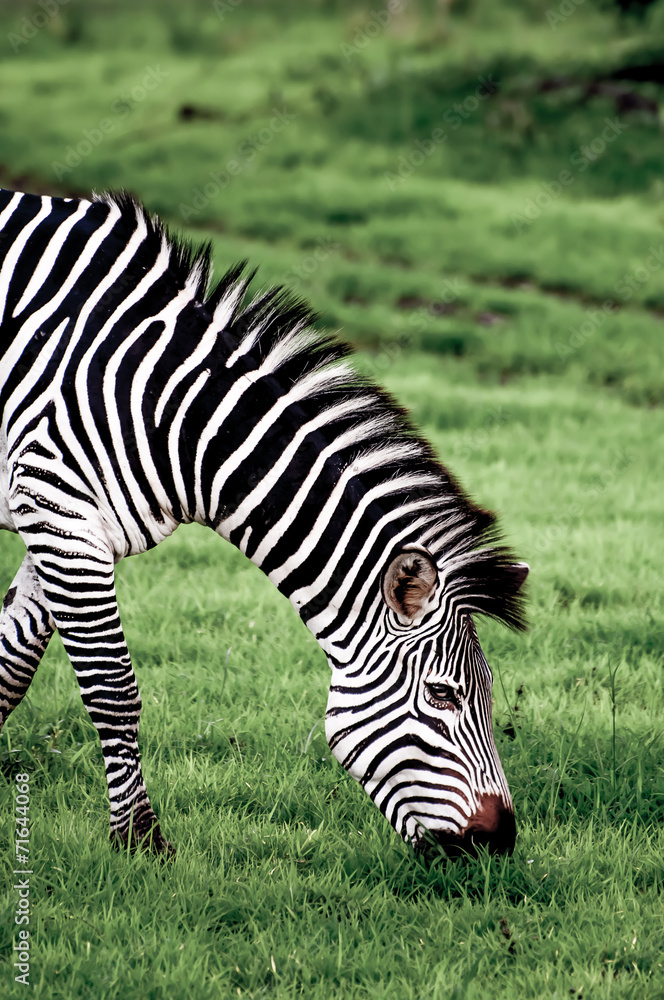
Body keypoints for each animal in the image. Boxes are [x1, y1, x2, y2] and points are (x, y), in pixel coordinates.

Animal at [0, 189, 528, 860]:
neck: (176, 412)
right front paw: (140, 841)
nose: (500, 841)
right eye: (443, 695)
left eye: (486, 695)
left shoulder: (68, 529)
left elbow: (10, 665)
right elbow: (112, 689)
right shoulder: (56, 506)